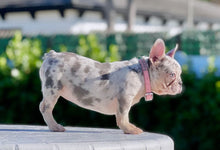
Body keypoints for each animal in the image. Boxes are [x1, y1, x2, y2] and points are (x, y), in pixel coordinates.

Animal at [39, 38, 182, 134]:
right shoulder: (124, 99)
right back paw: (55, 127)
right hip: (53, 88)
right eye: (172, 74)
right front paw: (130, 129)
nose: (181, 83)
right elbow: (123, 116)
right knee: (46, 107)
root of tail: (51, 55)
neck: (142, 73)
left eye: (180, 74)